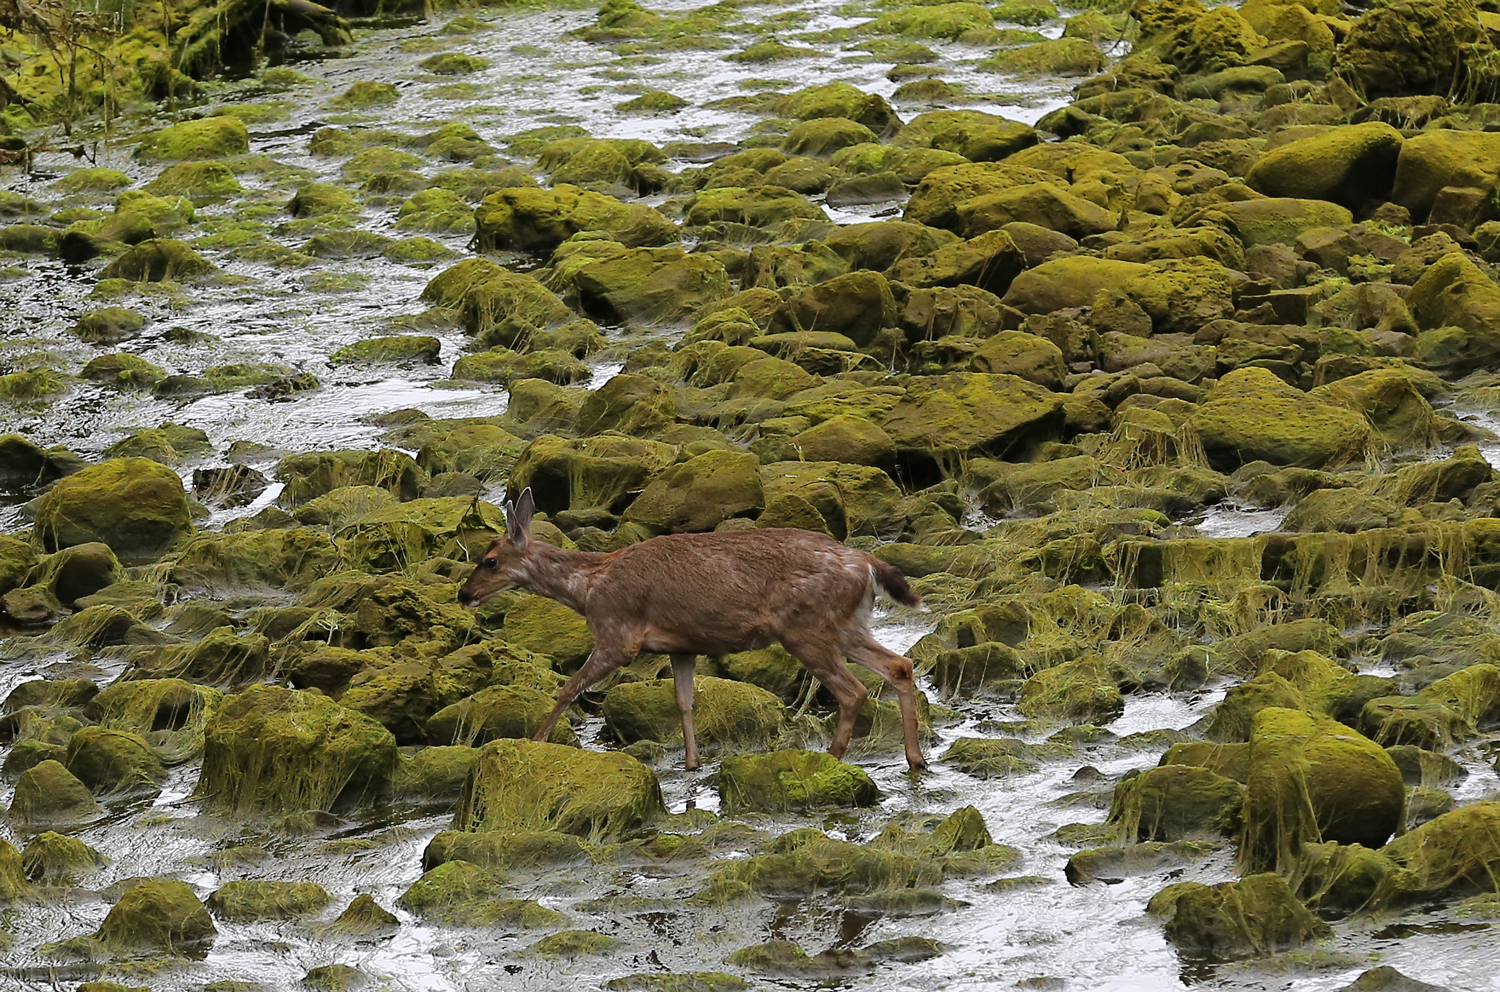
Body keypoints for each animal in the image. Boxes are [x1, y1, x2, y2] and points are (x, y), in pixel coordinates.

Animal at [456, 486, 924, 774]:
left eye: (490, 560)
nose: (464, 594)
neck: (588, 586)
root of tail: (867, 562)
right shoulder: (681, 646)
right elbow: (684, 701)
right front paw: (692, 761)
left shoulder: (616, 634)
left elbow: (568, 687)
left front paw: (536, 740)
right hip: (846, 624)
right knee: (899, 665)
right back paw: (915, 757)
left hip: (804, 627)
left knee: (854, 690)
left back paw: (835, 755)